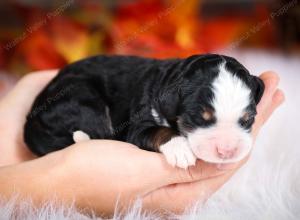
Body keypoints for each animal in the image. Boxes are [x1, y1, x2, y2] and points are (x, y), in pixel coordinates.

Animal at [24, 54, 264, 168]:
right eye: (198, 118)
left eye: (248, 119)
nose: (227, 151)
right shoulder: (137, 126)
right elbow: (159, 131)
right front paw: (180, 149)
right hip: (83, 99)